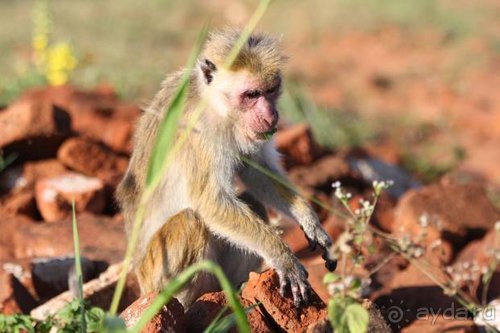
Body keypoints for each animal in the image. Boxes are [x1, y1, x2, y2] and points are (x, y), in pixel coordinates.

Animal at [115, 28, 336, 306]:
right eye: (251, 95)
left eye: (270, 90)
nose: (271, 115)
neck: (215, 105)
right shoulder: (199, 131)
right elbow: (209, 201)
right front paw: (282, 256)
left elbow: (256, 172)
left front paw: (309, 219)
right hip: (155, 273)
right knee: (191, 220)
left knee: (253, 203)